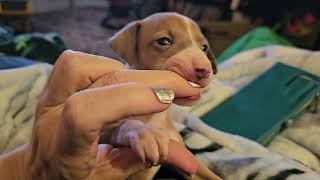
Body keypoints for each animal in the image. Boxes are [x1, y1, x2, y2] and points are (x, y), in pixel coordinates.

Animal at [109, 12, 219, 180]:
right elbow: (122, 126)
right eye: (164, 41)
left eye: (204, 47)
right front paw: (145, 133)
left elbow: (210, 175)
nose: (205, 70)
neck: (155, 115)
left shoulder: (190, 162)